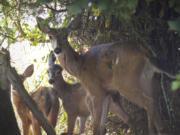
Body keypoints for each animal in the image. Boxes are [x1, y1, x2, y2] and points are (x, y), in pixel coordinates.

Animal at [36, 16, 176, 135]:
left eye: (66, 35)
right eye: (50, 36)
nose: (57, 49)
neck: (79, 66)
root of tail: (146, 55)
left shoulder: (95, 91)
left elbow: (96, 128)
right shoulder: (107, 93)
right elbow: (102, 128)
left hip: (126, 82)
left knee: (148, 104)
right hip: (149, 81)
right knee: (157, 114)